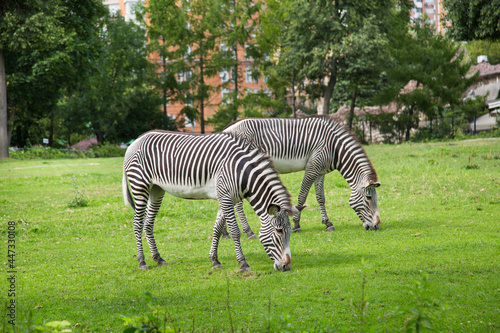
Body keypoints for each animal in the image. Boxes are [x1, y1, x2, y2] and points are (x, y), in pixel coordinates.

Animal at [122, 128, 298, 272]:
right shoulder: (226, 197)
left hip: (156, 189)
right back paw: (142, 261)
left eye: (289, 231)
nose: (286, 266)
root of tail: (136, 141)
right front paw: (243, 263)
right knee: (137, 223)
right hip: (140, 185)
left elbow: (217, 228)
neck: (242, 172)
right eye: (279, 231)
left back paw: (158, 258)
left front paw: (215, 260)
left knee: (148, 223)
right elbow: (235, 231)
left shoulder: (226, 198)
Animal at [221, 115, 380, 235]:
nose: (377, 226)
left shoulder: (320, 172)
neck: (334, 147)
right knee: (238, 204)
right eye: (369, 197)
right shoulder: (312, 168)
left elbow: (321, 197)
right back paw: (248, 231)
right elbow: (302, 195)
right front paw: (296, 224)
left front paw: (327, 223)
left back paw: (225, 233)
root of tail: (227, 129)